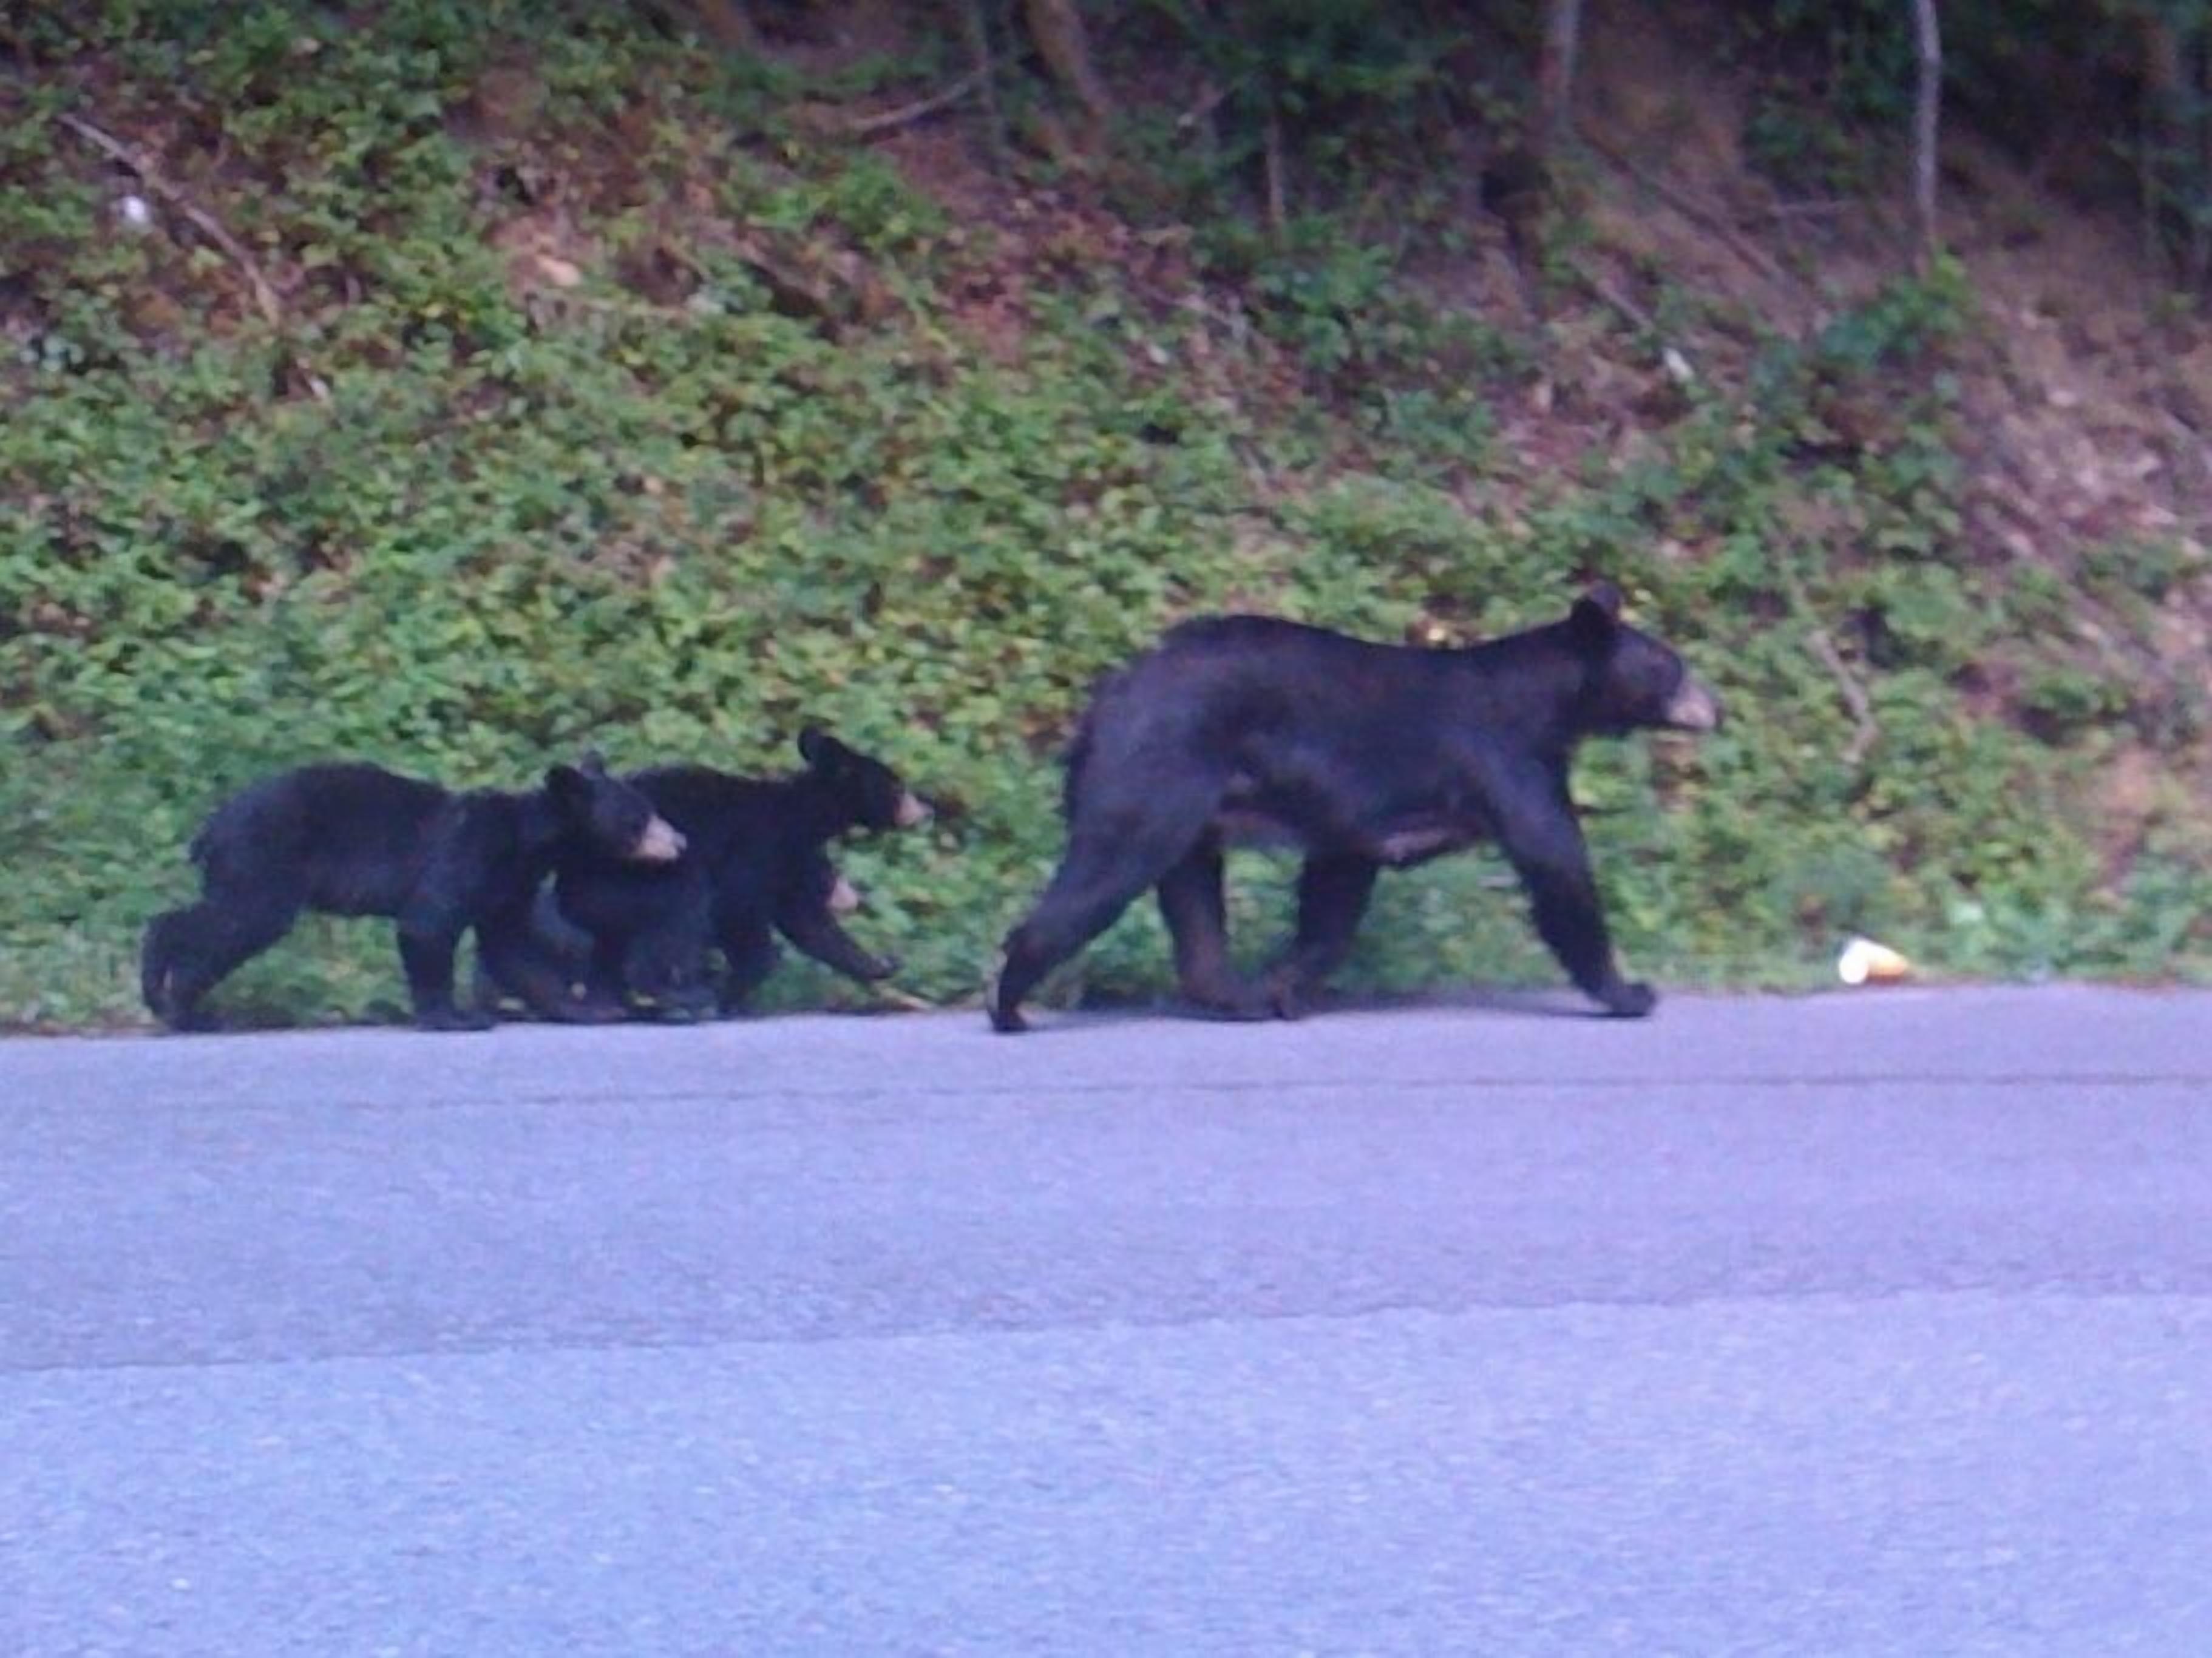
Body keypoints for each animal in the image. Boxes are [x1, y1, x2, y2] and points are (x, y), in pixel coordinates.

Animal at [141, 756, 685, 1033]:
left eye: (648, 807)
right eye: (638, 817)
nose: (680, 841)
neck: (527, 842)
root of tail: (212, 826)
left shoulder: (507, 888)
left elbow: (514, 950)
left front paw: (589, 1009)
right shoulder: (468, 854)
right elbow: (428, 924)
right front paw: (454, 1016)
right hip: (265, 859)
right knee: (236, 920)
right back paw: (184, 1007)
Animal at [533, 728, 931, 1020]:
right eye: (897, 785)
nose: (924, 810)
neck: (801, 817)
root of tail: (565, 875)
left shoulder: (789, 866)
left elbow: (810, 927)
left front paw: (882, 964)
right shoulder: (759, 849)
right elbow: (742, 912)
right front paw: (732, 993)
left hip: (605, 903)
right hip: (629, 879)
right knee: (682, 903)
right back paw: (676, 995)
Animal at [985, 581, 1722, 1033]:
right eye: (1672, 666)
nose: (1716, 706)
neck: (1546, 704)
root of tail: (1106, 696)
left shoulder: (1358, 819)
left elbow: (1335, 891)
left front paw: (1285, 985)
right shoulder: (1508, 759)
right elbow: (1556, 865)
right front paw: (1631, 992)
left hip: (1191, 795)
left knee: (1191, 895)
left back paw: (1236, 996)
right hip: (1154, 768)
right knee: (1109, 866)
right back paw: (1011, 1002)